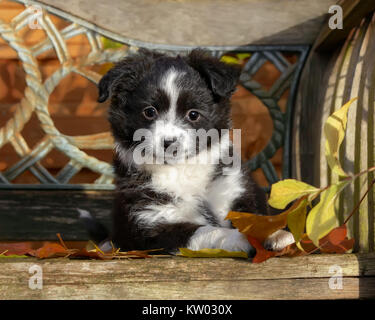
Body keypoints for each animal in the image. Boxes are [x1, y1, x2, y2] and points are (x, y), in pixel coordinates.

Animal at [95, 49, 296, 255]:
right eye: (149, 112)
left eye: (193, 114)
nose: (169, 143)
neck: (182, 168)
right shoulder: (152, 223)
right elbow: (205, 231)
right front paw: (240, 238)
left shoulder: (234, 190)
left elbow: (254, 218)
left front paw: (275, 233)